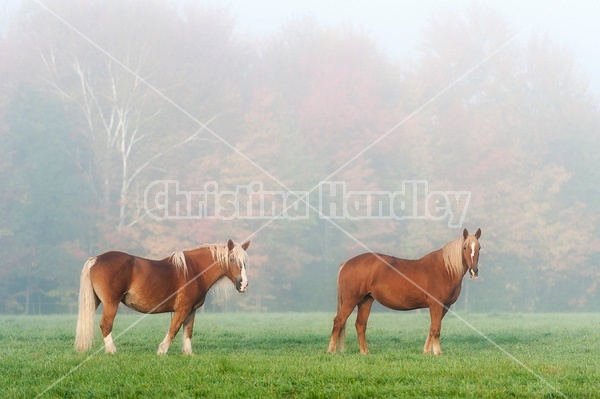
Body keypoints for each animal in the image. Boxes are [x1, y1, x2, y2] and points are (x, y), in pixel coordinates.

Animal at [74, 239, 248, 354]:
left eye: (245, 261)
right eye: (232, 259)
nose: (243, 284)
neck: (194, 270)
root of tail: (96, 259)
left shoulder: (191, 310)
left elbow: (188, 330)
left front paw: (188, 353)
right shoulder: (182, 309)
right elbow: (174, 329)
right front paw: (162, 350)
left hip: (95, 301)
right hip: (111, 303)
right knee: (106, 325)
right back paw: (111, 351)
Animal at [326, 228, 480, 356]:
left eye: (479, 247)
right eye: (465, 247)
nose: (474, 271)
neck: (445, 269)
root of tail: (346, 264)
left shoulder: (445, 306)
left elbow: (432, 328)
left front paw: (427, 351)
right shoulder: (436, 305)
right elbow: (436, 329)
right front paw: (437, 352)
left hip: (366, 300)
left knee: (360, 325)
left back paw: (365, 352)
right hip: (351, 300)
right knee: (339, 320)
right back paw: (331, 350)